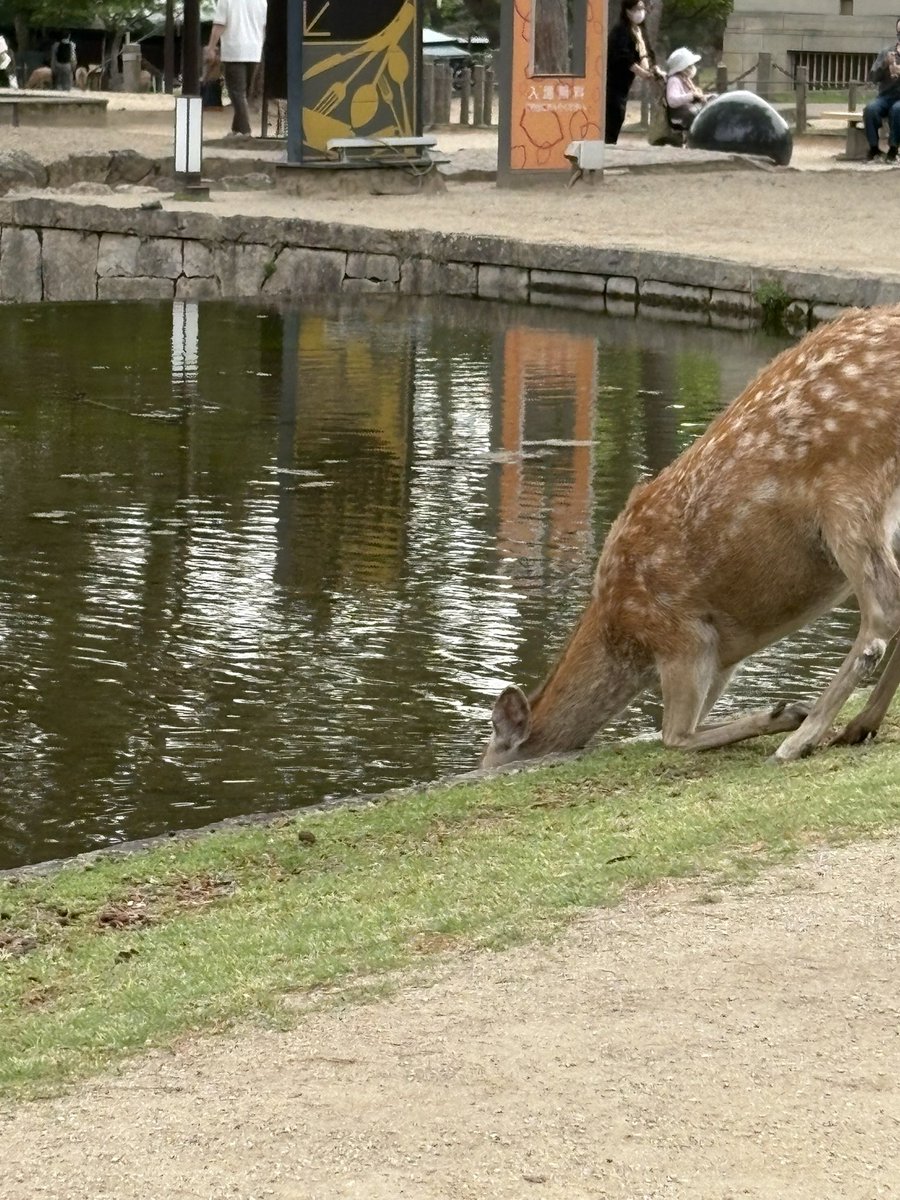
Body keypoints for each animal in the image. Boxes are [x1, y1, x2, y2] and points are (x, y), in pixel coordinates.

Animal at [482, 304, 900, 769]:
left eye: (487, 760)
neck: (622, 633)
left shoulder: (684, 637)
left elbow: (675, 736)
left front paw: (787, 713)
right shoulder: (723, 658)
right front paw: (785, 710)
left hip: (850, 491)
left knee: (884, 608)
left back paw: (800, 740)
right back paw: (858, 725)